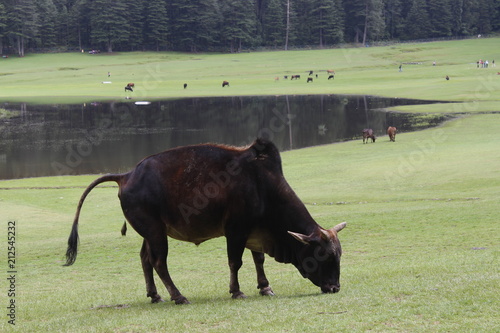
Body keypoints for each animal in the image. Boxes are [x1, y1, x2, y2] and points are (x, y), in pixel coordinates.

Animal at [64, 137, 348, 304]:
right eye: (323, 255)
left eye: (339, 255)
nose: (335, 287)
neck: (263, 186)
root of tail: (126, 175)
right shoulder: (235, 230)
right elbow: (235, 262)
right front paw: (236, 291)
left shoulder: (253, 231)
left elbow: (258, 259)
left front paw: (265, 287)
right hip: (156, 232)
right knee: (159, 262)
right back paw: (178, 296)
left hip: (151, 233)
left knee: (145, 259)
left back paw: (155, 295)